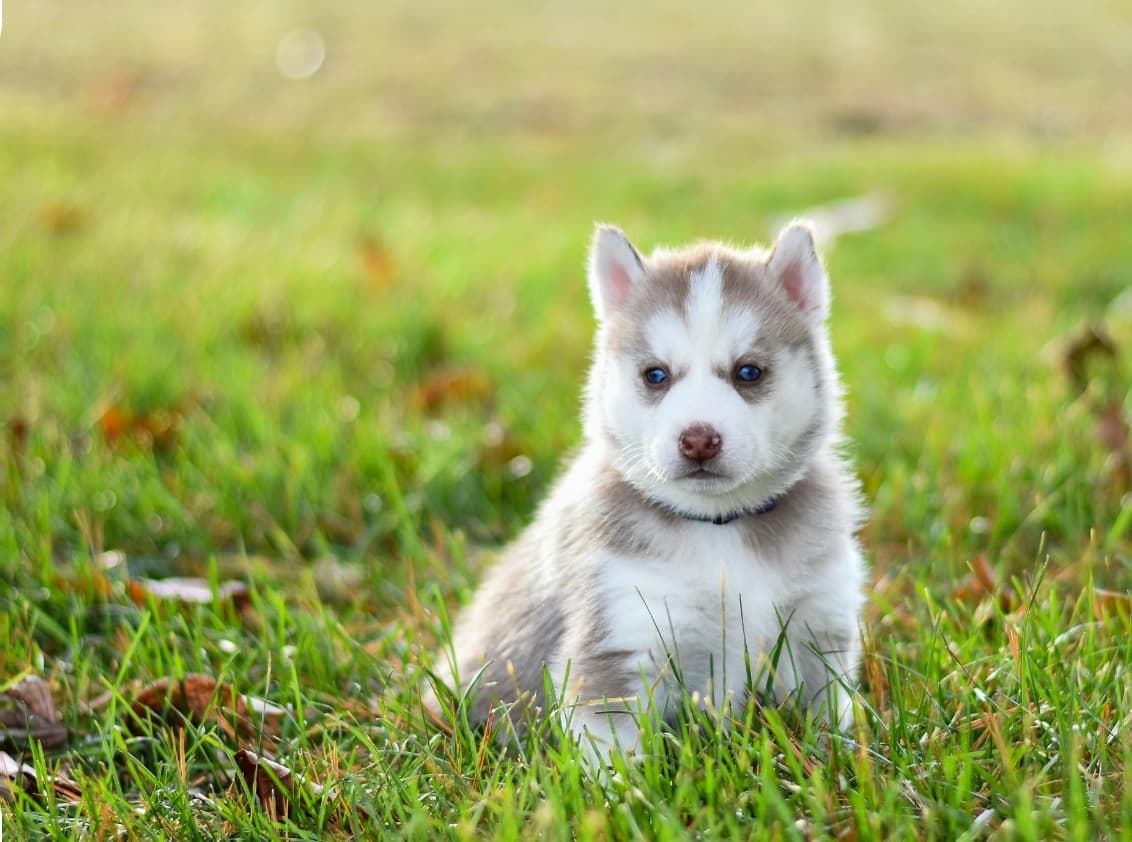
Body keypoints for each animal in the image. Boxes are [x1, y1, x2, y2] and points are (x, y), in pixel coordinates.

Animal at [430, 221, 864, 755]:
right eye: (655, 375)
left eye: (748, 371)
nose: (698, 439)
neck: (718, 528)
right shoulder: (619, 639)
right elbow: (615, 756)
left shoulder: (818, 625)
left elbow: (829, 721)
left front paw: (838, 759)